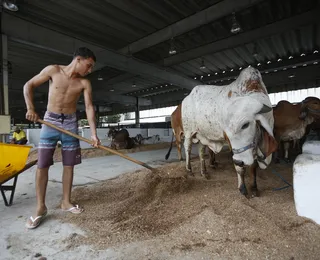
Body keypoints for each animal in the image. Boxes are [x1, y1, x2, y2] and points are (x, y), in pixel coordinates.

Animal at [182, 67, 278, 197]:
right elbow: (239, 168)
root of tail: (187, 97)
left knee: (201, 151)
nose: (239, 160)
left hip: (202, 134)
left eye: (245, 125)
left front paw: (254, 188)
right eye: (226, 131)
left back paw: (204, 172)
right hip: (189, 131)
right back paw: (189, 169)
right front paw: (242, 188)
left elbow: (253, 167)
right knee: (187, 147)